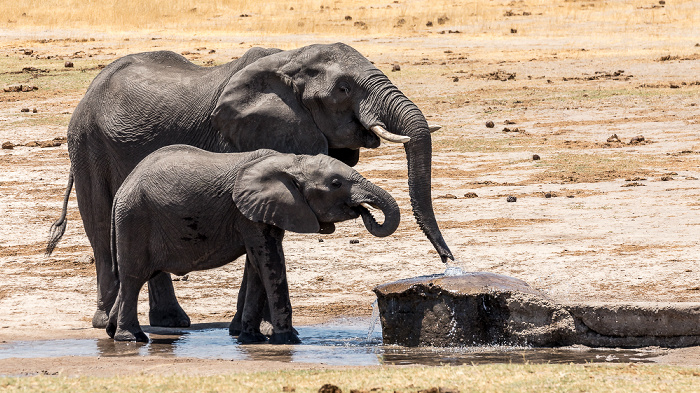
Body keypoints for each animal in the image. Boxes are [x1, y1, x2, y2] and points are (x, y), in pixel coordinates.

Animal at [105, 145, 400, 344]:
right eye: (336, 183)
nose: (365, 211)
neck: (290, 161)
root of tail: (122, 187)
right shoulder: (248, 213)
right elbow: (270, 263)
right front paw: (288, 340)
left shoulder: (262, 212)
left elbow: (258, 265)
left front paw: (250, 338)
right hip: (135, 218)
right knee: (133, 277)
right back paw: (131, 338)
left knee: (138, 275)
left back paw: (112, 331)